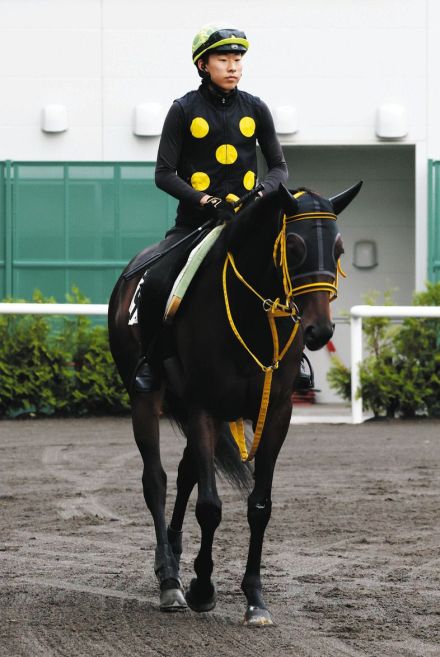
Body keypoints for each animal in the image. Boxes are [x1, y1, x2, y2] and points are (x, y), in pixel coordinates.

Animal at [106, 181, 360, 624]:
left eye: (340, 249)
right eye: (294, 247)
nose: (320, 330)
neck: (251, 315)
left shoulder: (276, 414)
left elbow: (259, 505)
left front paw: (254, 598)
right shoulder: (204, 407)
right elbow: (210, 505)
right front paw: (202, 587)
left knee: (186, 471)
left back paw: (174, 553)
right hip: (145, 397)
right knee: (156, 479)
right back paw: (169, 578)